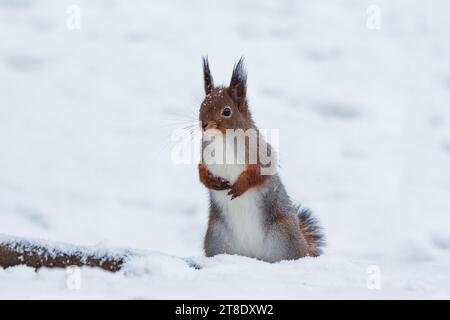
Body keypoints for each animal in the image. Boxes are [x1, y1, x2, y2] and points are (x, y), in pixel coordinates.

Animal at [199, 57, 322, 262]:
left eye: (227, 111)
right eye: (201, 105)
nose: (204, 123)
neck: (223, 140)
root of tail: (253, 255)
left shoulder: (261, 154)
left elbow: (259, 172)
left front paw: (240, 186)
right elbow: (200, 173)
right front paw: (212, 182)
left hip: (283, 234)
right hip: (216, 237)